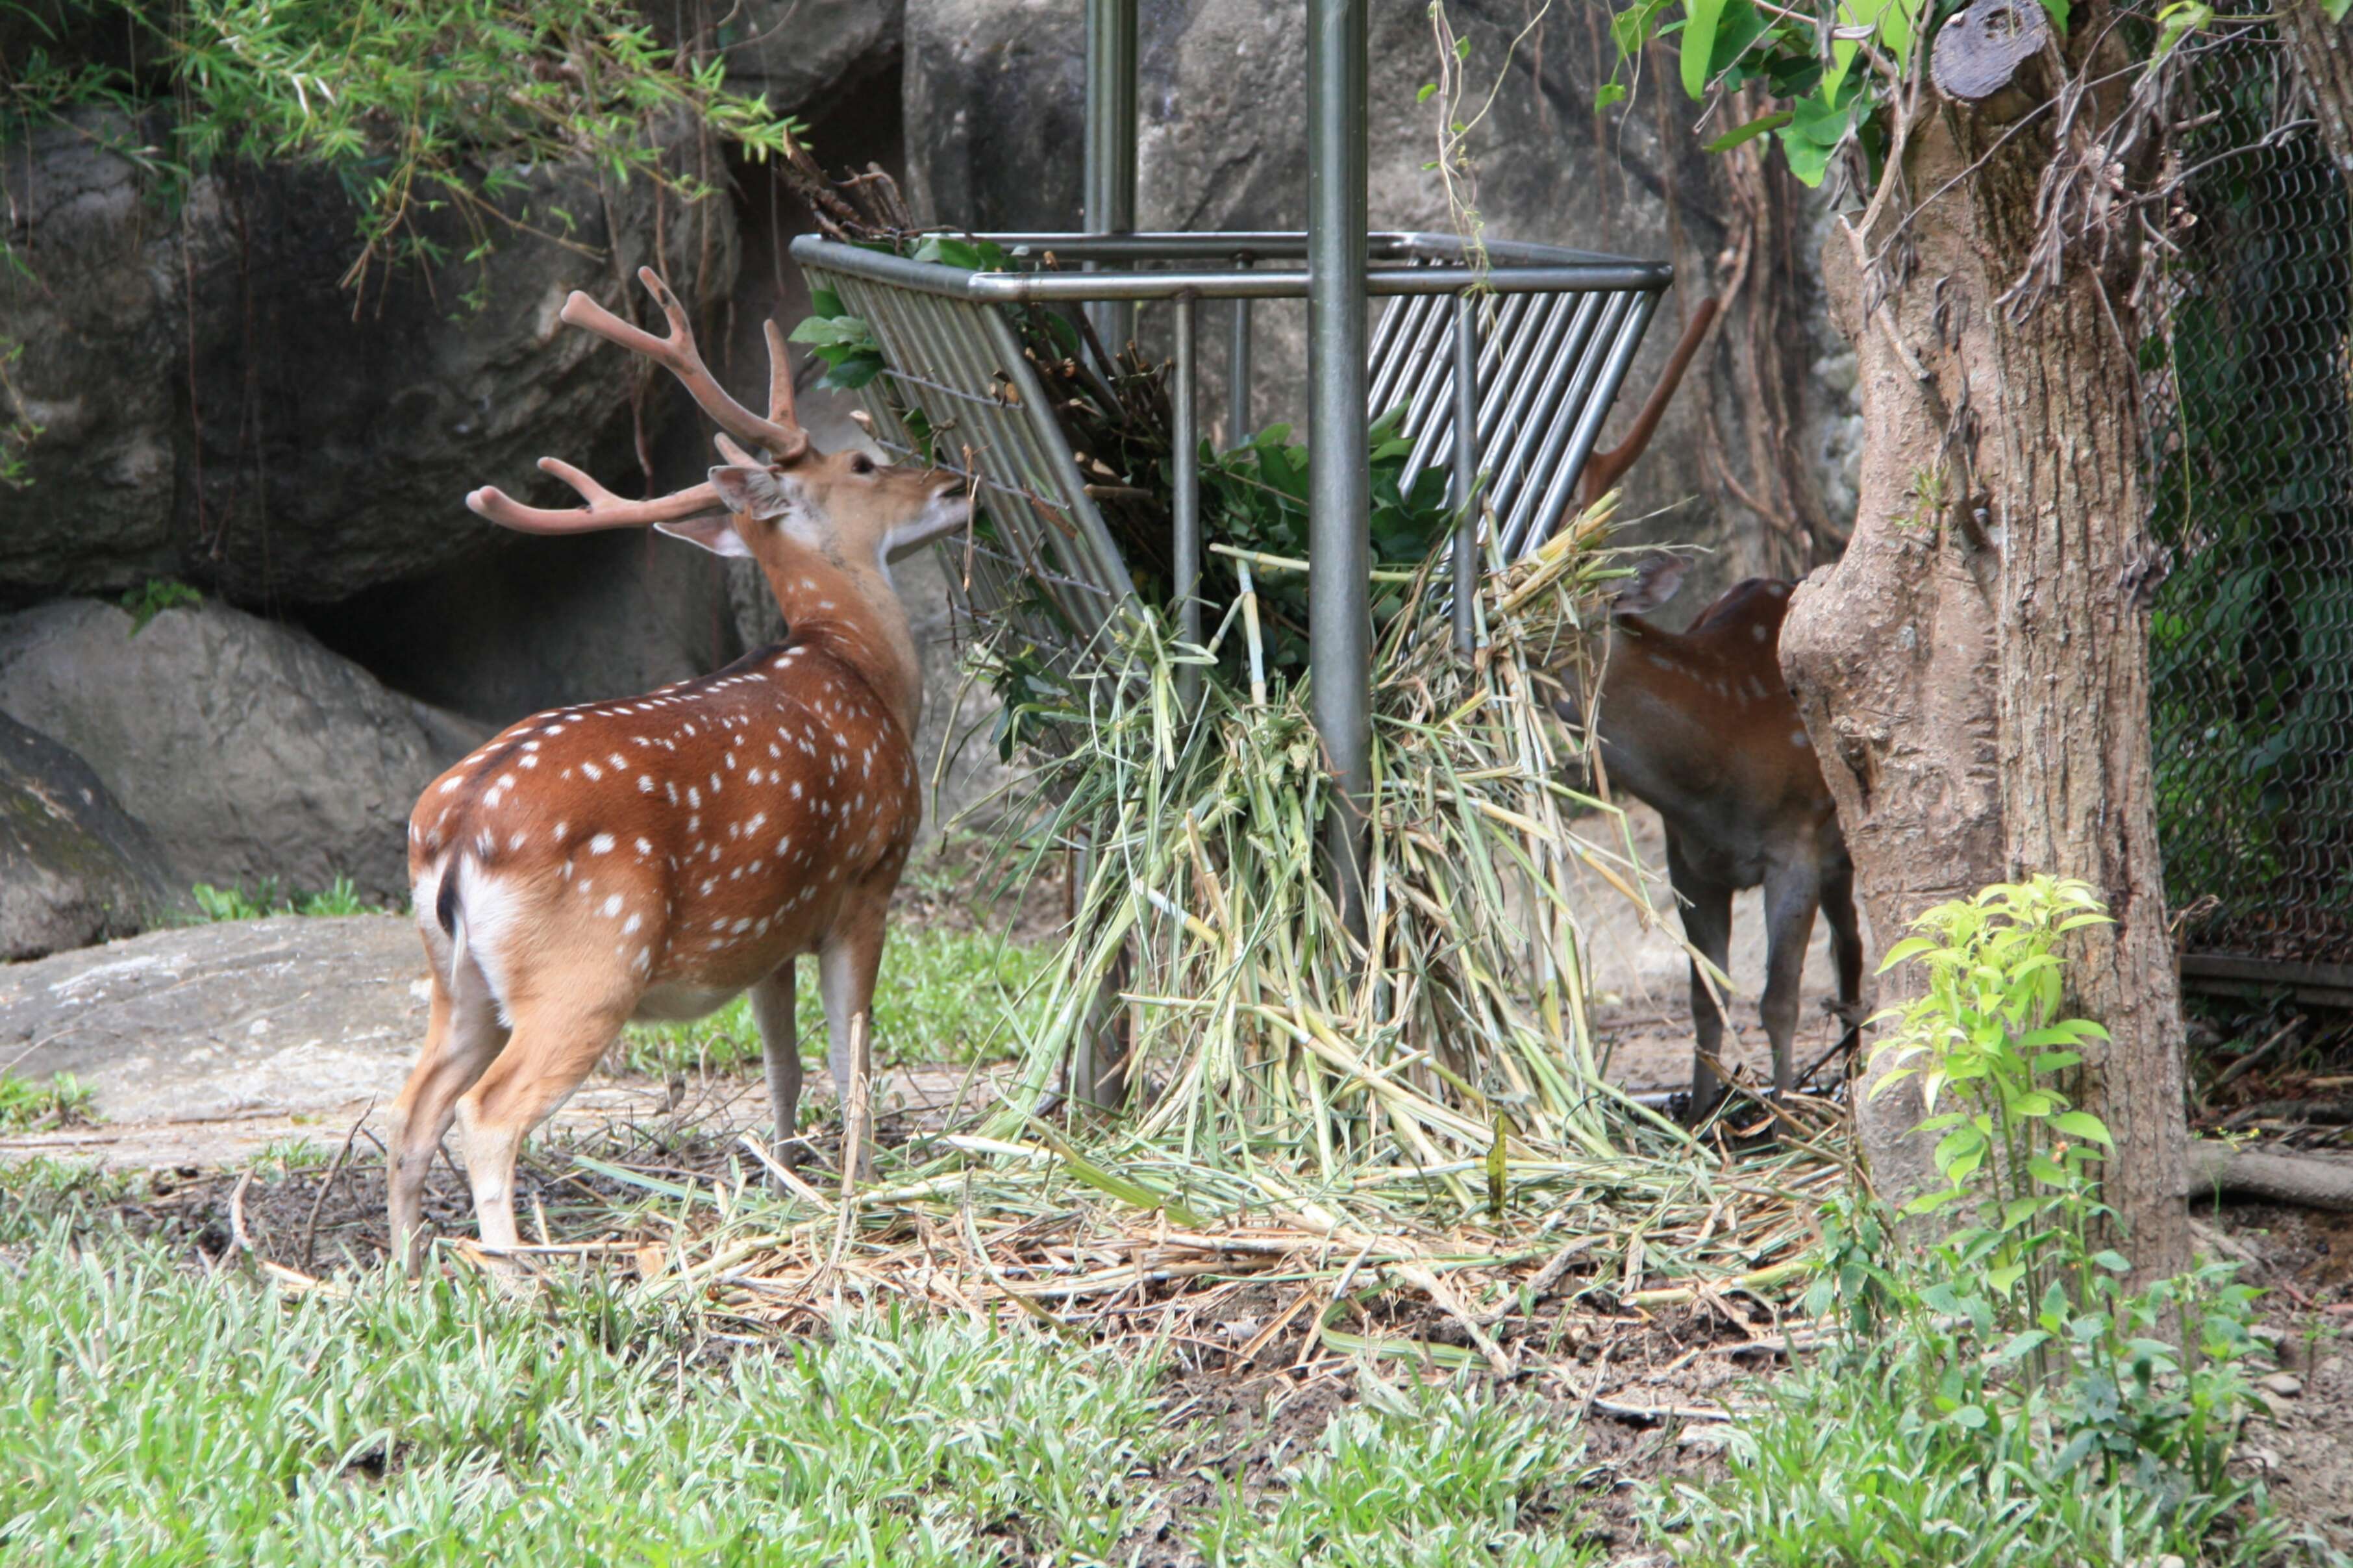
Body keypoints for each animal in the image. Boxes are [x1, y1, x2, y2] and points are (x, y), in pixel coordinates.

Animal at [386, 266, 964, 1271]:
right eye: (862, 464)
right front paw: (860, 1189)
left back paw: (407, 1276)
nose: (955, 480)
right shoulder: (866, 878)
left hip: (458, 981)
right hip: (589, 964)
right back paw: (521, 1281)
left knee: (412, 1109)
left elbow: (784, 1066)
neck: (858, 666)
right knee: (487, 1113)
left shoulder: (770, 925)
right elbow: (853, 1058)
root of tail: (454, 832)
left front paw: (789, 1177)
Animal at [1552, 548, 1863, 1111]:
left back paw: (1849, 1076)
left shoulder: (1796, 843)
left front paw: (1783, 1119)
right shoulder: (1688, 862)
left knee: (1849, 947)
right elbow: (1706, 996)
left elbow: (1778, 1000)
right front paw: (1700, 1115)